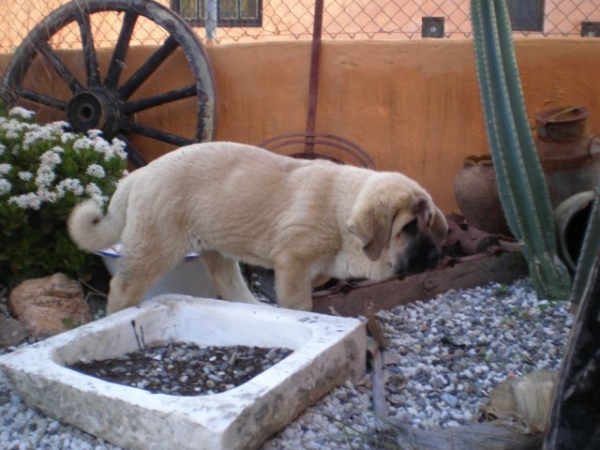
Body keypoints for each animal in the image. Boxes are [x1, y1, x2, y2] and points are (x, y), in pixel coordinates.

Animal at [68, 142, 448, 314]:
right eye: (407, 228)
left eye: (429, 223)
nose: (435, 257)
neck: (341, 209)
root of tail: (139, 174)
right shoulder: (292, 263)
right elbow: (299, 304)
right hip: (155, 246)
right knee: (123, 287)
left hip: (215, 247)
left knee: (228, 283)